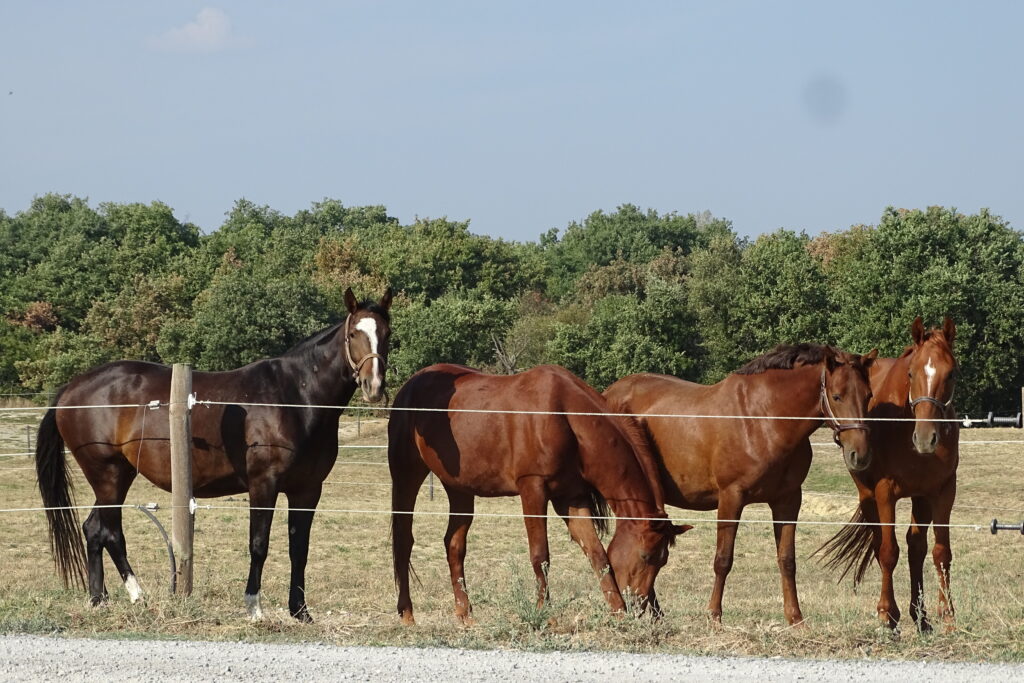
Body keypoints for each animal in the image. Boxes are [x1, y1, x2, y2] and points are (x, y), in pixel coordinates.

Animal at [34, 286, 393, 622]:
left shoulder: (307, 490)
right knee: (110, 532)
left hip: (116, 476)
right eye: (353, 334)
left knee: (93, 530)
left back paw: (99, 600)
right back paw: (137, 595)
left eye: (387, 333)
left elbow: (299, 549)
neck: (295, 397)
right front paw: (254, 607)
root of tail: (72, 388)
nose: (373, 386)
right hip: (108, 475)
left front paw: (301, 611)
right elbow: (259, 545)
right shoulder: (263, 485)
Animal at [387, 362, 692, 626]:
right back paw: (407, 613)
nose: (640, 604)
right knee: (403, 540)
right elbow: (540, 556)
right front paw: (546, 613)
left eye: (663, 560)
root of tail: (411, 384)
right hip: (406, 475)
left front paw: (617, 612)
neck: (565, 416)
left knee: (454, 545)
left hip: (460, 489)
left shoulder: (571, 499)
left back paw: (464, 613)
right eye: (646, 556)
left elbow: (597, 554)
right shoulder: (532, 489)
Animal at [602, 344, 876, 626]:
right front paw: (714, 615)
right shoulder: (731, 498)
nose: (860, 455)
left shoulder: (788, 500)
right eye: (837, 396)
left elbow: (787, 560)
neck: (763, 420)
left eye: (868, 395)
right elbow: (723, 560)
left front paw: (795, 618)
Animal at [815, 317, 958, 634]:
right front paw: (887, 615)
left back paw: (921, 617)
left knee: (916, 547)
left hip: (920, 498)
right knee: (880, 544)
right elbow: (888, 552)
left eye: (951, 373)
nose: (926, 439)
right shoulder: (884, 492)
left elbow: (941, 553)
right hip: (868, 496)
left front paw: (948, 616)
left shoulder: (942, 492)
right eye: (911, 372)